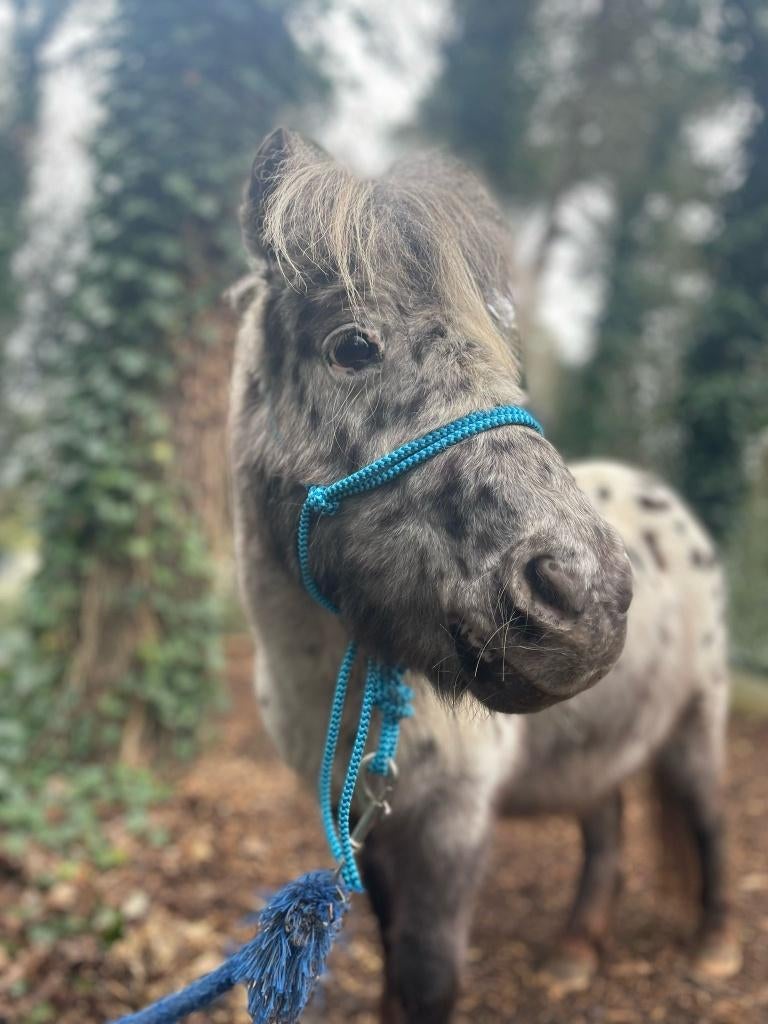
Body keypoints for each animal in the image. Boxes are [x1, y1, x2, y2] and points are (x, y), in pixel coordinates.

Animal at [228, 128, 739, 1023]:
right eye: (352, 345)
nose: (589, 595)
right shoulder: (372, 823)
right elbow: (393, 949)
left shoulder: (452, 822)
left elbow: (429, 971)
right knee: (604, 820)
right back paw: (575, 951)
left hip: (696, 720)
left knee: (707, 817)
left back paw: (714, 946)